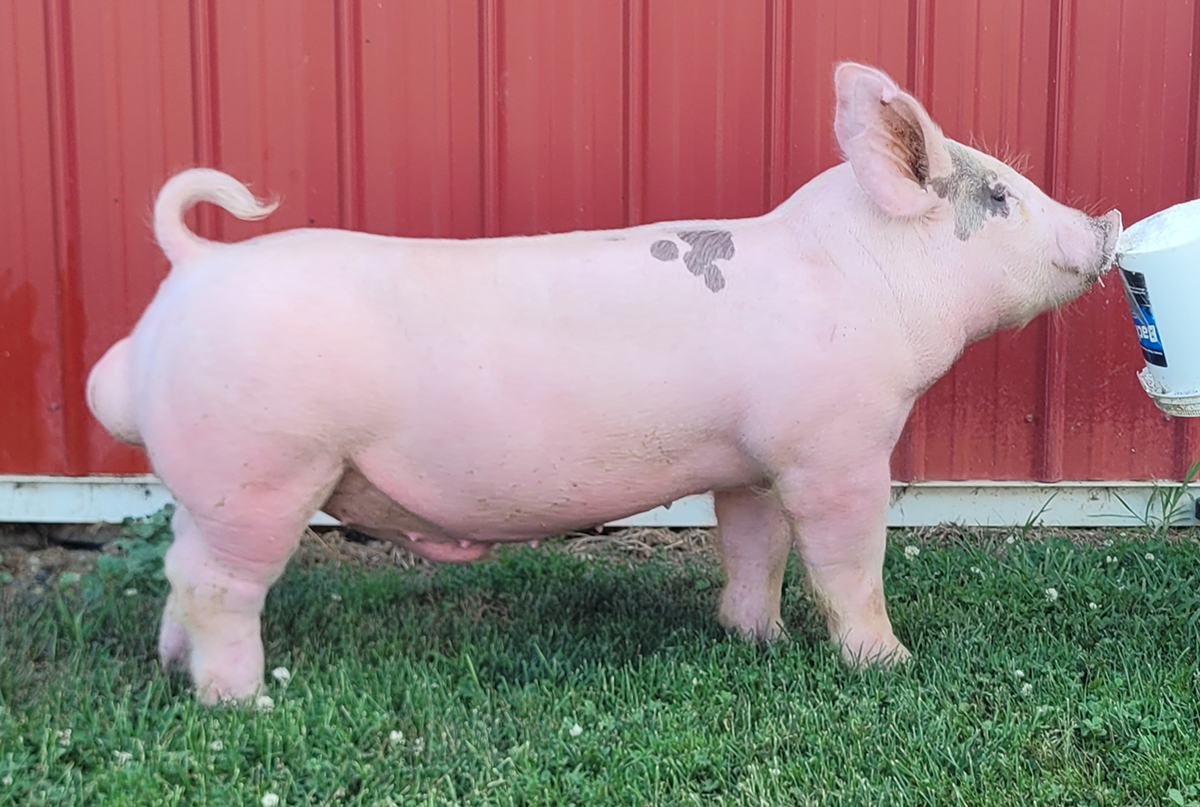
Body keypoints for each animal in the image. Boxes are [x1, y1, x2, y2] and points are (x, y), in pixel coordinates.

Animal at [87, 63, 1120, 703]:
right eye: (1001, 197)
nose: (1104, 223)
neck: (859, 277)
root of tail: (194, 267)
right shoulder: (837, 448)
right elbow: (846, 558)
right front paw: (888, 665)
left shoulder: (748, 463)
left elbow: (754, 550)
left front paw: (757, 642)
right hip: (262, 470)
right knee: (218, 585)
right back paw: (242, 703)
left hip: (212, 481)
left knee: (179, 571)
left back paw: (176, 672)